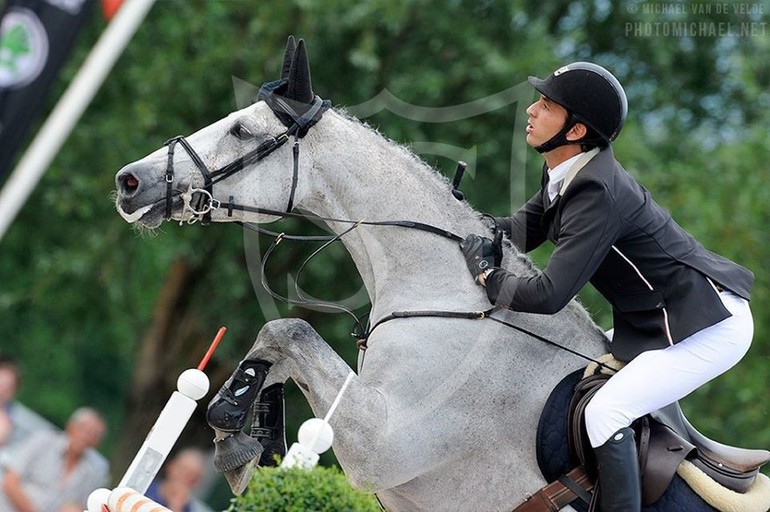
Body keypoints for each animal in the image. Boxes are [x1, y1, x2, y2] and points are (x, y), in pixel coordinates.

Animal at [112, 37, 760, 512]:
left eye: (242, 131)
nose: (128, 182)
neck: (451, 300)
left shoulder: (384, 444)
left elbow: (291, 330)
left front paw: (234, 430)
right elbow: (278, 338)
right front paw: (246, 430)